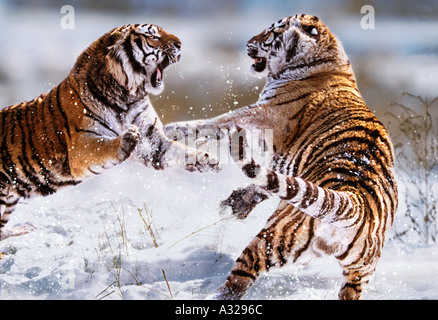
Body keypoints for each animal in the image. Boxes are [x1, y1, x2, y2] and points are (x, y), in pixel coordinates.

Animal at [0, 23, 219, 241]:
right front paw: (125, 141)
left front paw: (207, 160)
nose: (180, 44)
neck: (128, 96)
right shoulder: (78, 148)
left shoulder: (152, 143)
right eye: (153, 36)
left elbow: (180, 151)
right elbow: (101, 147)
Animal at [163, 14, 396, 300]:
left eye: (270, 33)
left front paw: (169, 129)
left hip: (272, 238)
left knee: (238, 279)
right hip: (359, 271)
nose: (247, 43)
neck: (327, 62)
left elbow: (214, 123)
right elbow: (269, 184)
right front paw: (237, 203)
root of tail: (354, 201)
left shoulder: (262, 114)